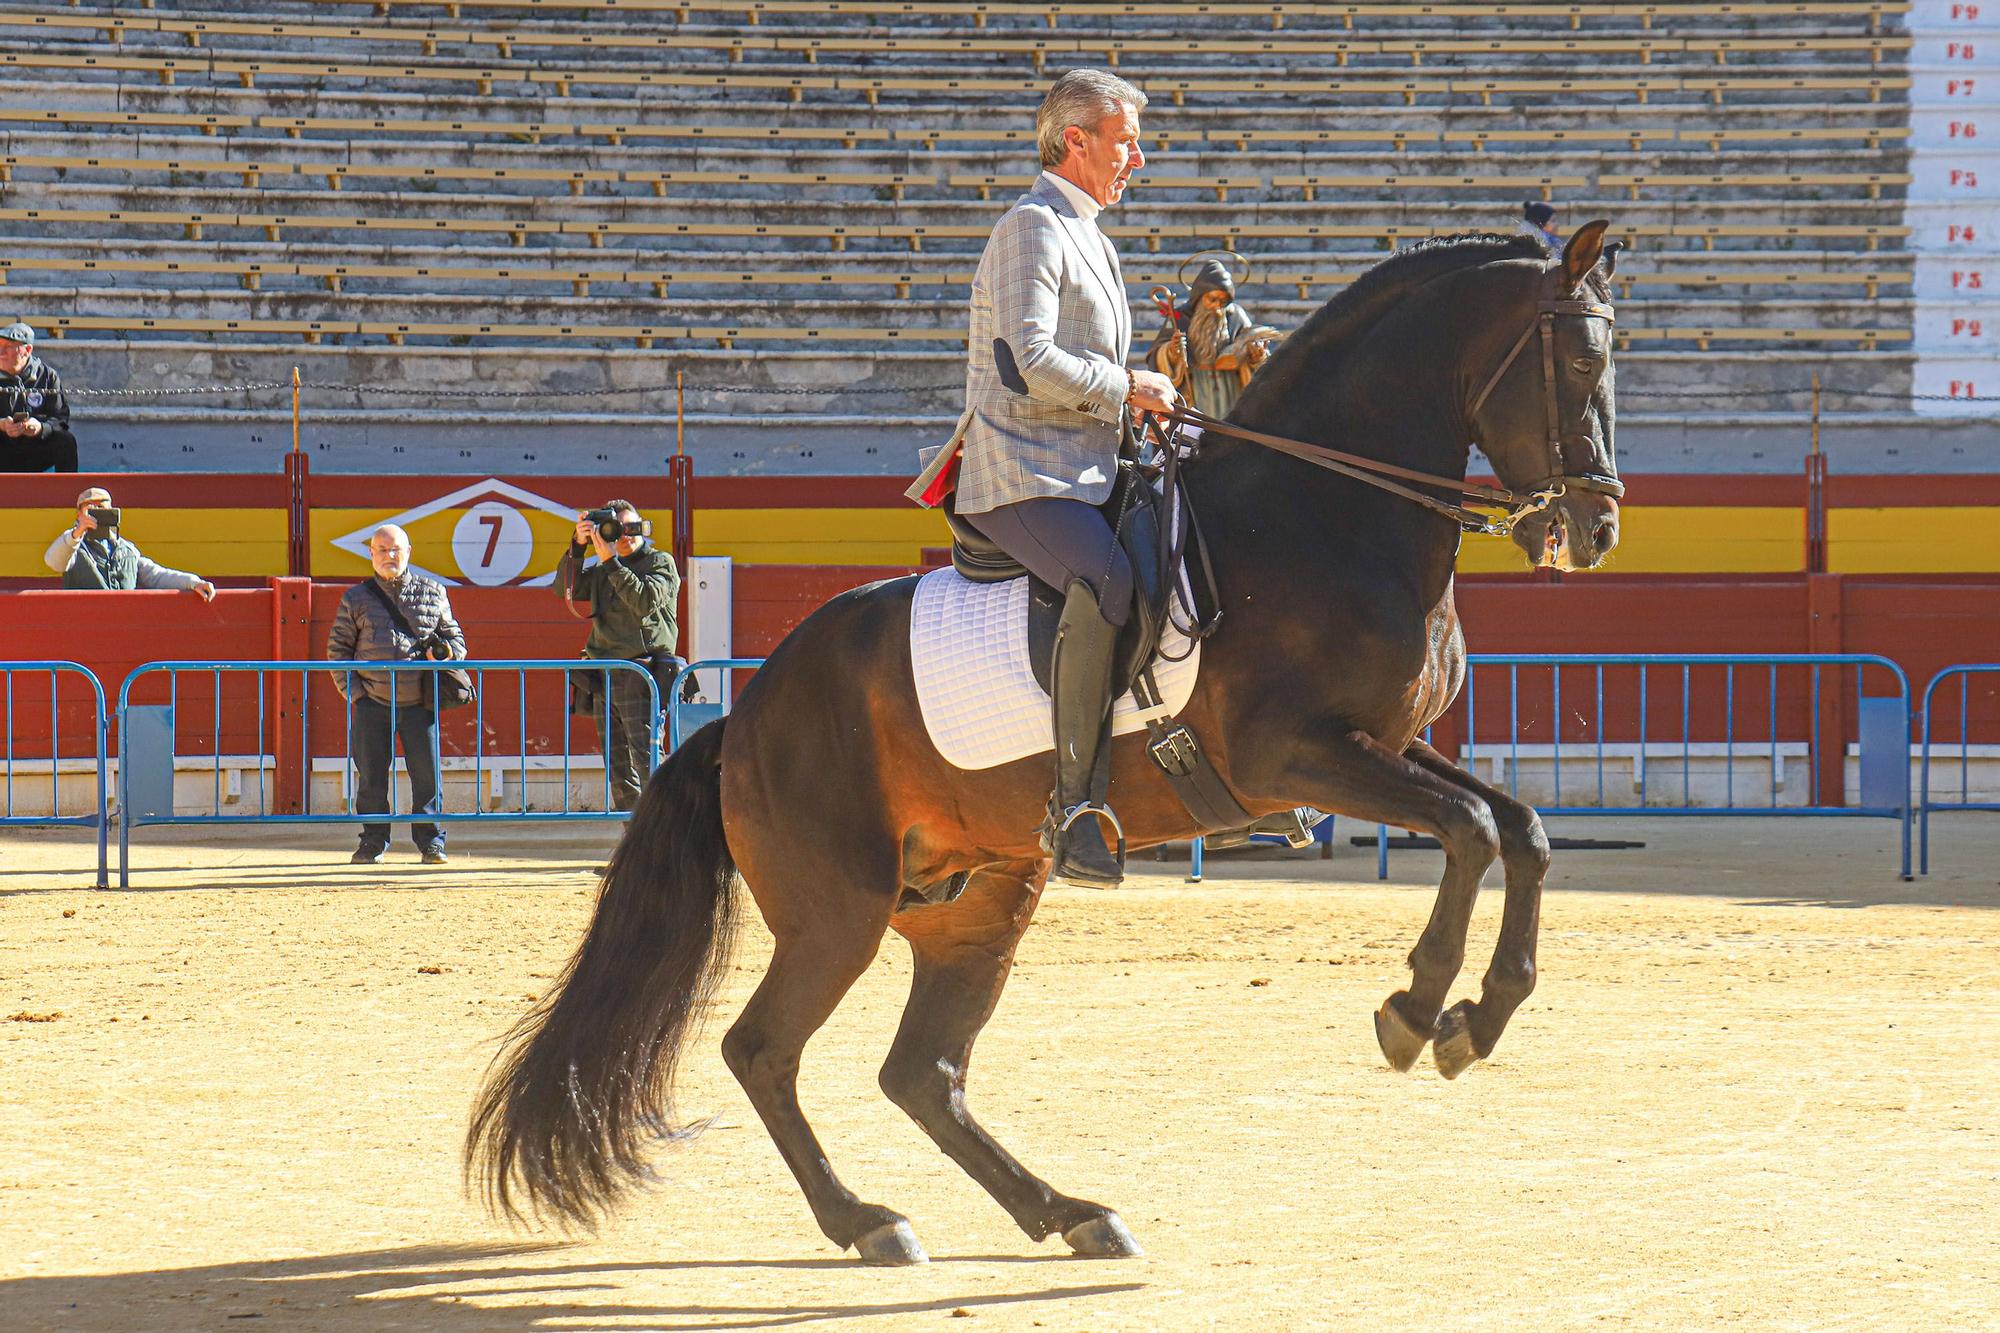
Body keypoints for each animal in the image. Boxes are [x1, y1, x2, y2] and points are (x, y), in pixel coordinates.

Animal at [464, 223, 1624, 1264]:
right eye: (1579, 361)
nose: (1594, 527)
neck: (1321, 513)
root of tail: (744, 715)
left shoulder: (1382, 744)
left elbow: (1519, 829)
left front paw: (1477, 1016)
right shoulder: (1290, 756)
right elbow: (1472, 830)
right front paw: (1418, 1007)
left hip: (976, 898)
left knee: (921, 1072)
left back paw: (1067, 1213)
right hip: (836, 912)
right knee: (764, 1050)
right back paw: (867, 1221)